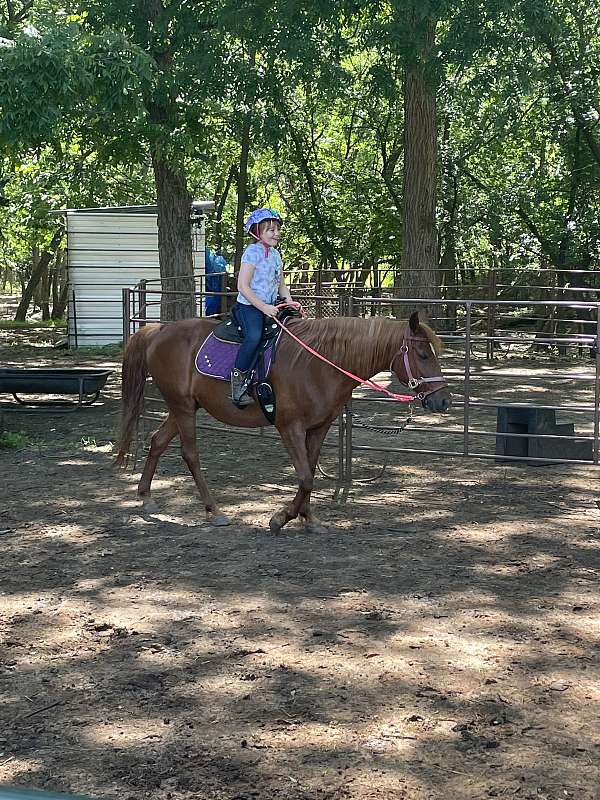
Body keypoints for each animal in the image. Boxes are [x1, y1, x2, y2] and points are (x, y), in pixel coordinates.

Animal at [115, 310, 450, 532]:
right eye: (422, 354)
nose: (443, 400)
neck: (319, 364)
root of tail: (158, 331)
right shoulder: (289, 427)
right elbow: (305, 477)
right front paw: (281, 518)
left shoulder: (319, 427)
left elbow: (311, 472)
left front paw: (309, 519)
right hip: (183, 407)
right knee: (190, 454)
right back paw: (214, 510)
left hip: (182, 407)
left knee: (157, 442)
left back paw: (146, 497)